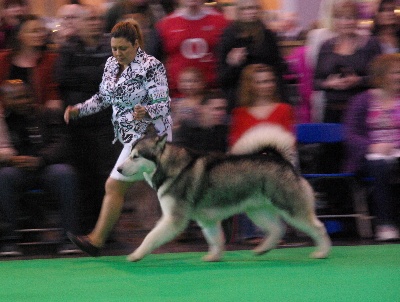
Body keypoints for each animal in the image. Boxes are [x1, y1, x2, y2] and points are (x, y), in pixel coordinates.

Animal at [118, 125, 332, 262]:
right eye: (129, 154)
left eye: (135, 157)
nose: (118, 169)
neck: (169, 167)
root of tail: (282, 161)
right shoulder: (207, 219)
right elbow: (215, 239)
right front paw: (215, 256)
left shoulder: (173, 219)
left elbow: (151, 237)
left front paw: (136, 254)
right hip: (257, 211)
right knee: (277, 229)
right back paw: (262, 249)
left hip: (291, 208)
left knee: (318, 227)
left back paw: (322, 252)